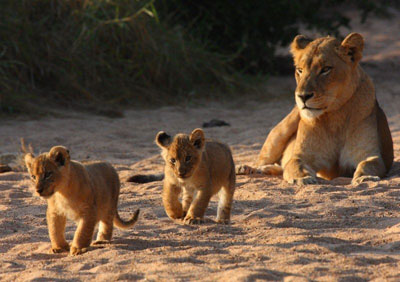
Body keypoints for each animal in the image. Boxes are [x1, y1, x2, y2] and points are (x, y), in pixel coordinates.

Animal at [238, 32, 394, 185]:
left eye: (325, 69)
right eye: (300, 70)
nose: (302, 96)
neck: (335, 116)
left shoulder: (369, 154)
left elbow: (368, 165)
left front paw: (365, 178)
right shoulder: (302, 156)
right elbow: (295, 165)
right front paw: (303, 179)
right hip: (281, 130)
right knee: (264, 160)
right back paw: (246, 168)